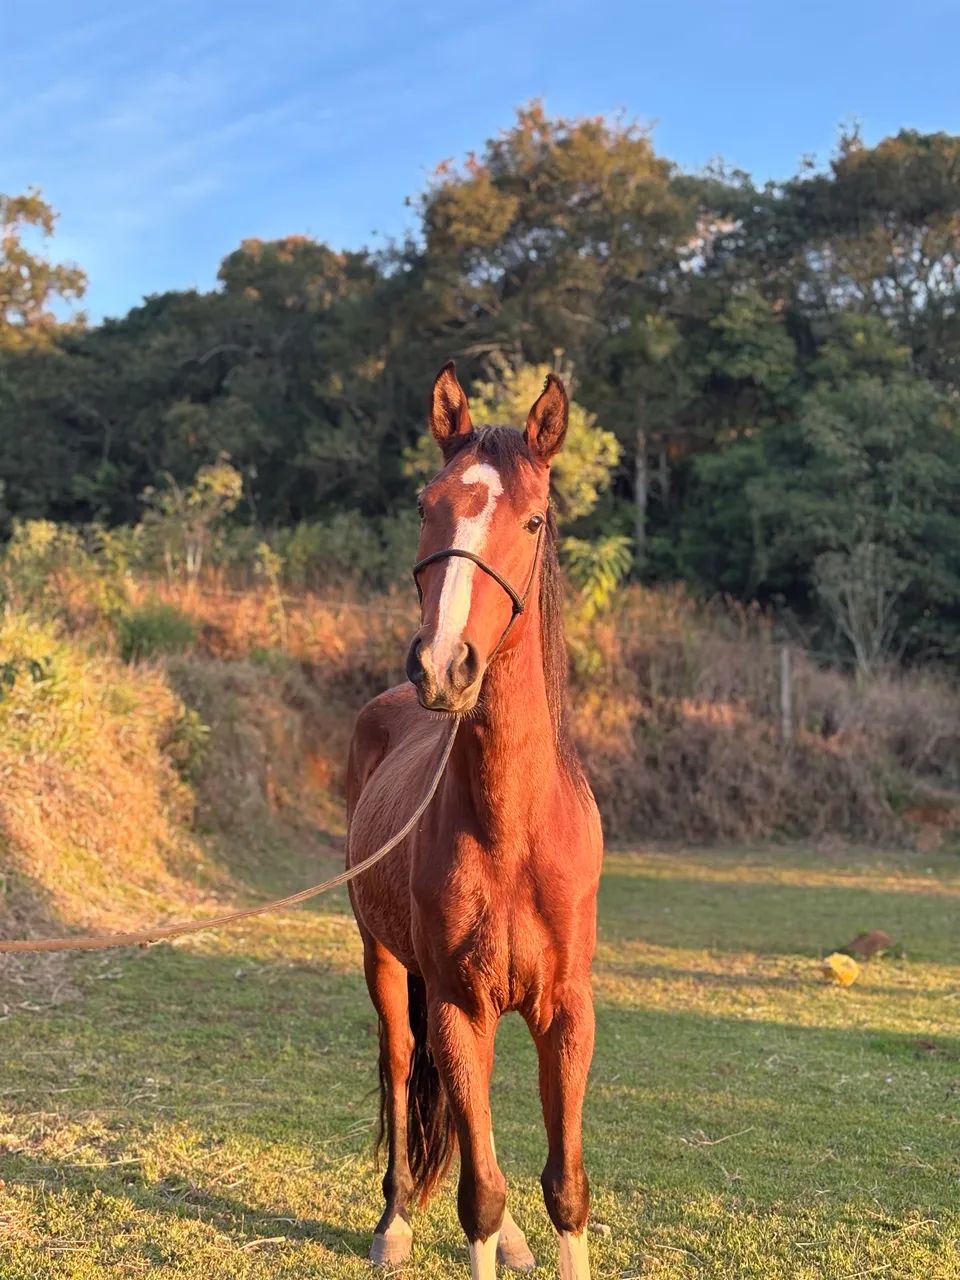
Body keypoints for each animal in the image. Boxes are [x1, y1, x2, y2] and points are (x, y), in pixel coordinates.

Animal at [346, 363, 603, 1280]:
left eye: (531, 518)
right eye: (428, 504)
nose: (441, 664)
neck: (513, 828)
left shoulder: (567, 1013)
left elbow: (566, 1189)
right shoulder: (459, 1005)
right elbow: (478, 1197)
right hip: (387, 965)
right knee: (398, 1068)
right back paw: (392, 1222)